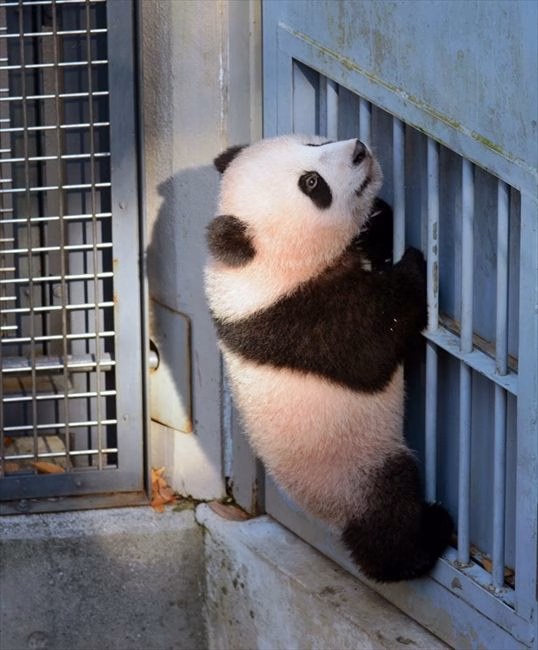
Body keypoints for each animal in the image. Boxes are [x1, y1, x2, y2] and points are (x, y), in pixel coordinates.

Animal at [205, 134, 453, 582]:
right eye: (312, 183)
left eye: (311, 141)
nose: (358, 149)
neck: (258, 266)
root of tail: (329, 521)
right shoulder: (297, 318)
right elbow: (371, 350)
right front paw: (413, 266)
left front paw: (377, 223)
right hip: (356, 469)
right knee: (390, 516)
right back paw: (425, 536)